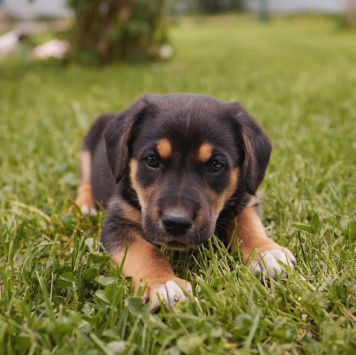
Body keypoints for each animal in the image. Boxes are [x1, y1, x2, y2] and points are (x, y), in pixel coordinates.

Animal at [76, 94, 296, 308]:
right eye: (152, 160)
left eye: (216, 165)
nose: (176, 223)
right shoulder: (118, 222)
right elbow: (146, 251)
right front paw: (162, 284)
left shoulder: (246, 199)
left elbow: (248, 224)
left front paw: (266, 253)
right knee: (84, 182)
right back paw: (85, 206)